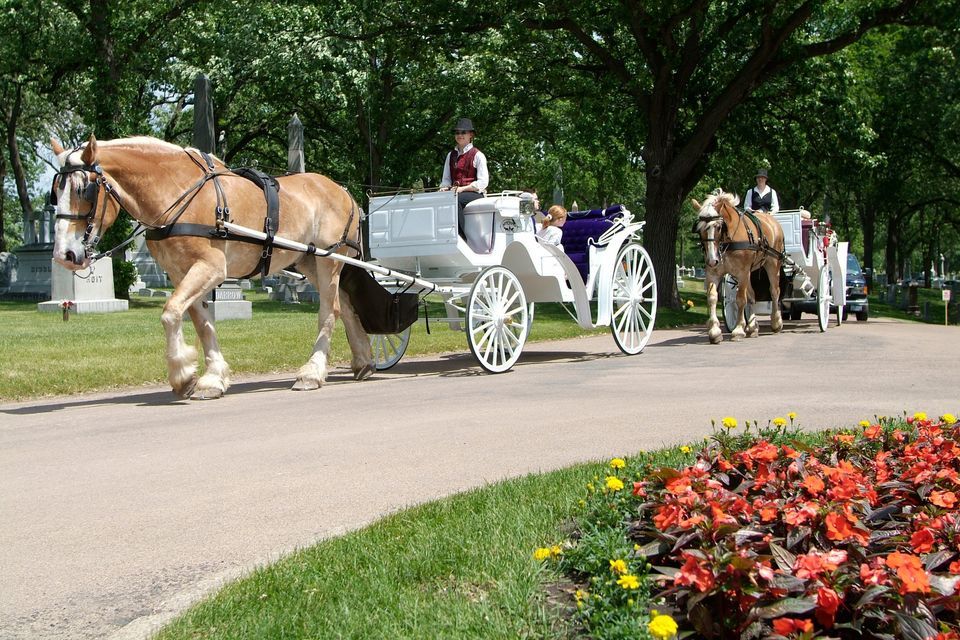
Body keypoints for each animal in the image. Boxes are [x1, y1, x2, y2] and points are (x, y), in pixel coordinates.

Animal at [50, 136, 376, 400]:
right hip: (310, 262)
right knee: (346, 306)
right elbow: (200, 322)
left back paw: (312, 372)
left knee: (330, 311)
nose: (65, 254)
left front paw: (183, 374)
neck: (178, 193)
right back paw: (364, 361)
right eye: (55, 192)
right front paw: (212, 378)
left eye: (83, 189)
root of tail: (344, 191)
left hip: (329, 260)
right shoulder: (180, 272)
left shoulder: (211, 267)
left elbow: (170, 312)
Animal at [692, 191, 784, 344]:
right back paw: (752, 327)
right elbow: (712, 298)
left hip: (772, 264)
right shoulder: (713, 272)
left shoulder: (742, 272)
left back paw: (776, 322)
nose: (712, 259)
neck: (727, 241)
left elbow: (740, 299)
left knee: (774, 291)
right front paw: (715, 331)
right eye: (699, 230)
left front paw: (738, 329)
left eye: (718, 227)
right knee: (752, 296)